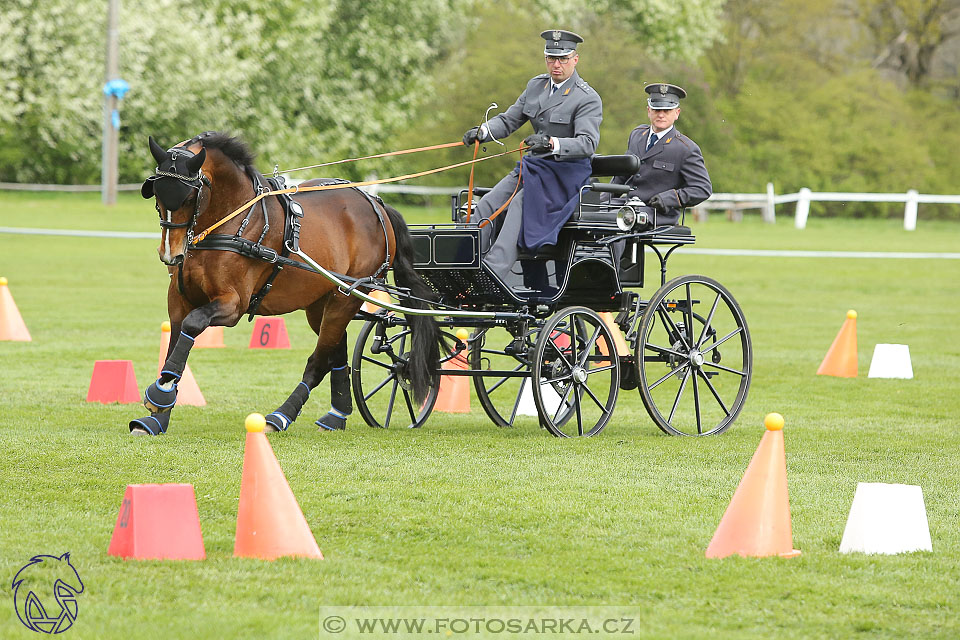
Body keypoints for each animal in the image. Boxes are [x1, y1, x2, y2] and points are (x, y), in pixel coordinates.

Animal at [130, 132, 438, 438]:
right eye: (157, 195)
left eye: (190, 197)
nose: (171, 254)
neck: (231, 221)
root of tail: (376, 204)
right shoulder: (179, 300)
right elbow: (175, 342)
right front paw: (159, 412)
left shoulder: (233, 305)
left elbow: (193, 324)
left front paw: (160, 393)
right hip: (321, 304)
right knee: (335, 351)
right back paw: (336, 416)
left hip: (347, 297)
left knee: (319, 361)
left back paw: (281, 416)